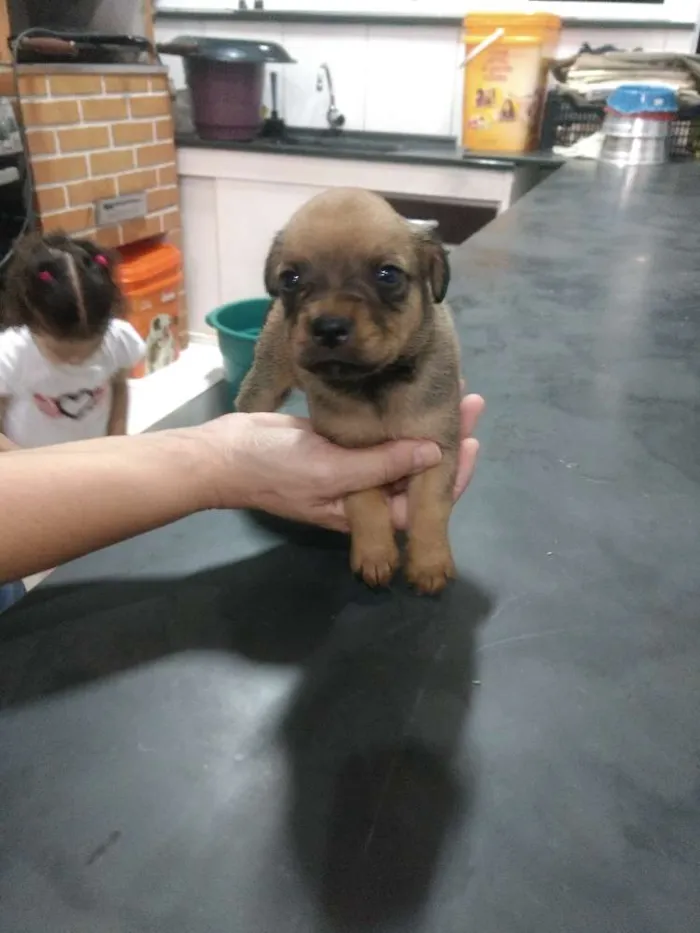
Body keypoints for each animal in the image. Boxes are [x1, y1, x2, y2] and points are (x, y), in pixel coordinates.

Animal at [238, 188, 462, 592]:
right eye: (291, 278)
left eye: (388, 275)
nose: (328, 327)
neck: (375, 383)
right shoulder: (349, 452)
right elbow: (365, 501)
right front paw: (375, 553)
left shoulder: (439, 448)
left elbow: (430, 507)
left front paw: (429, 562)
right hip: (264, 382)